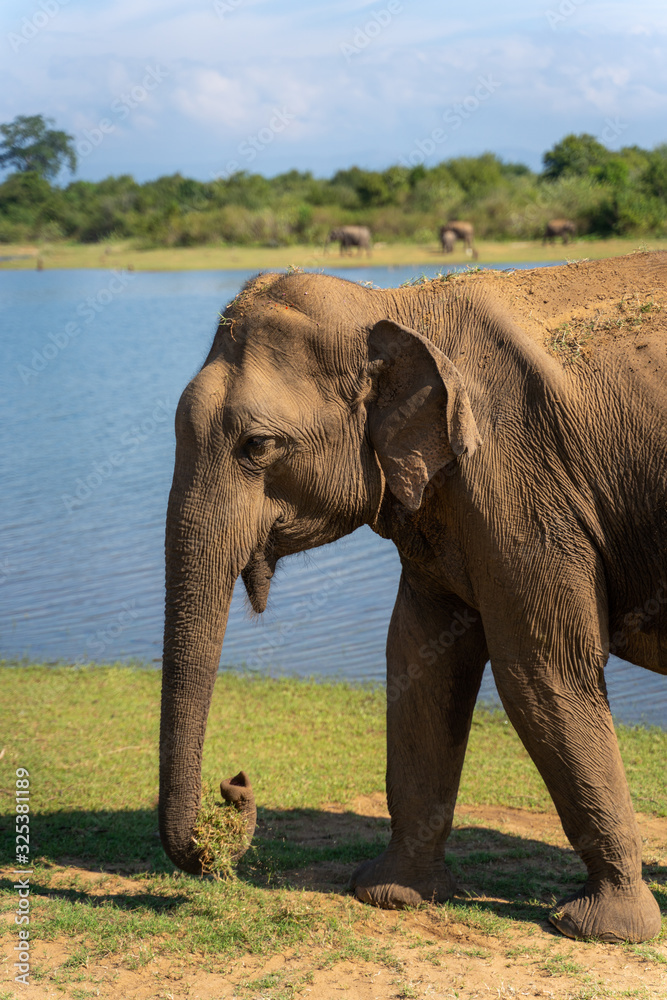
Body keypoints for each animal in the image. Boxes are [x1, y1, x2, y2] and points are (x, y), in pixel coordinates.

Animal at [160, 254, 666, 944]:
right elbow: (421, 661)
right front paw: (393, 895)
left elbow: (541, 671)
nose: (235, 785)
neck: (393, 307)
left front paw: (601, 930)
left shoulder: (522, 486)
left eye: (257, 445)